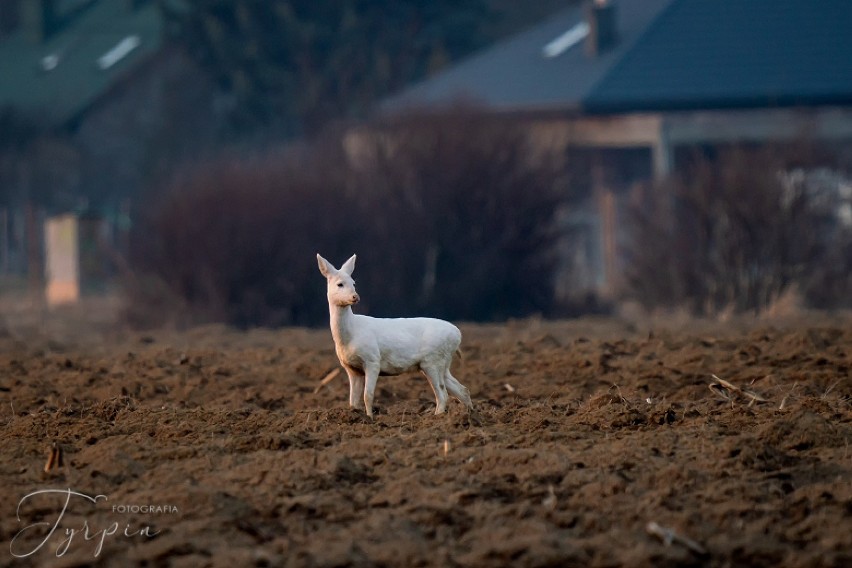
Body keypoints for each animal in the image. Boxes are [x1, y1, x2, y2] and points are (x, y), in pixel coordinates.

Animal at [318, 253, 476, 418]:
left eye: (354, 283)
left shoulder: (372, 359)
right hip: (442, 362)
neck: (350, 335)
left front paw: (370, 418)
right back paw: (470, 415)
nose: (355, 297)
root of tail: (457, 335)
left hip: (432, 360)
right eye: (340, 284)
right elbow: (353, 400)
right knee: (462, 389)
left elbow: (368, 395)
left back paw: (437, 417)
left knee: (443, 394)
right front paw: (356, 415)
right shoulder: (351, 368)